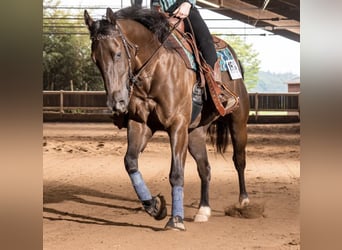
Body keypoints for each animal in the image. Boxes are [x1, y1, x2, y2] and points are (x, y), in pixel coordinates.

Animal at [83, 6, 248, 232]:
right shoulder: (140, 124)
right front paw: (154, 206)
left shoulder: (177, 125)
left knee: (239, 160)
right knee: (204, 168)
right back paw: (203, 210)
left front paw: (176, 219)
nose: (117, 103)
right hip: (195, 133)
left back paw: (244, 202)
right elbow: (130, 162)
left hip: (238, 122)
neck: (155, 69)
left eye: (117, 54)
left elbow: (176, 173)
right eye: (94, 59)